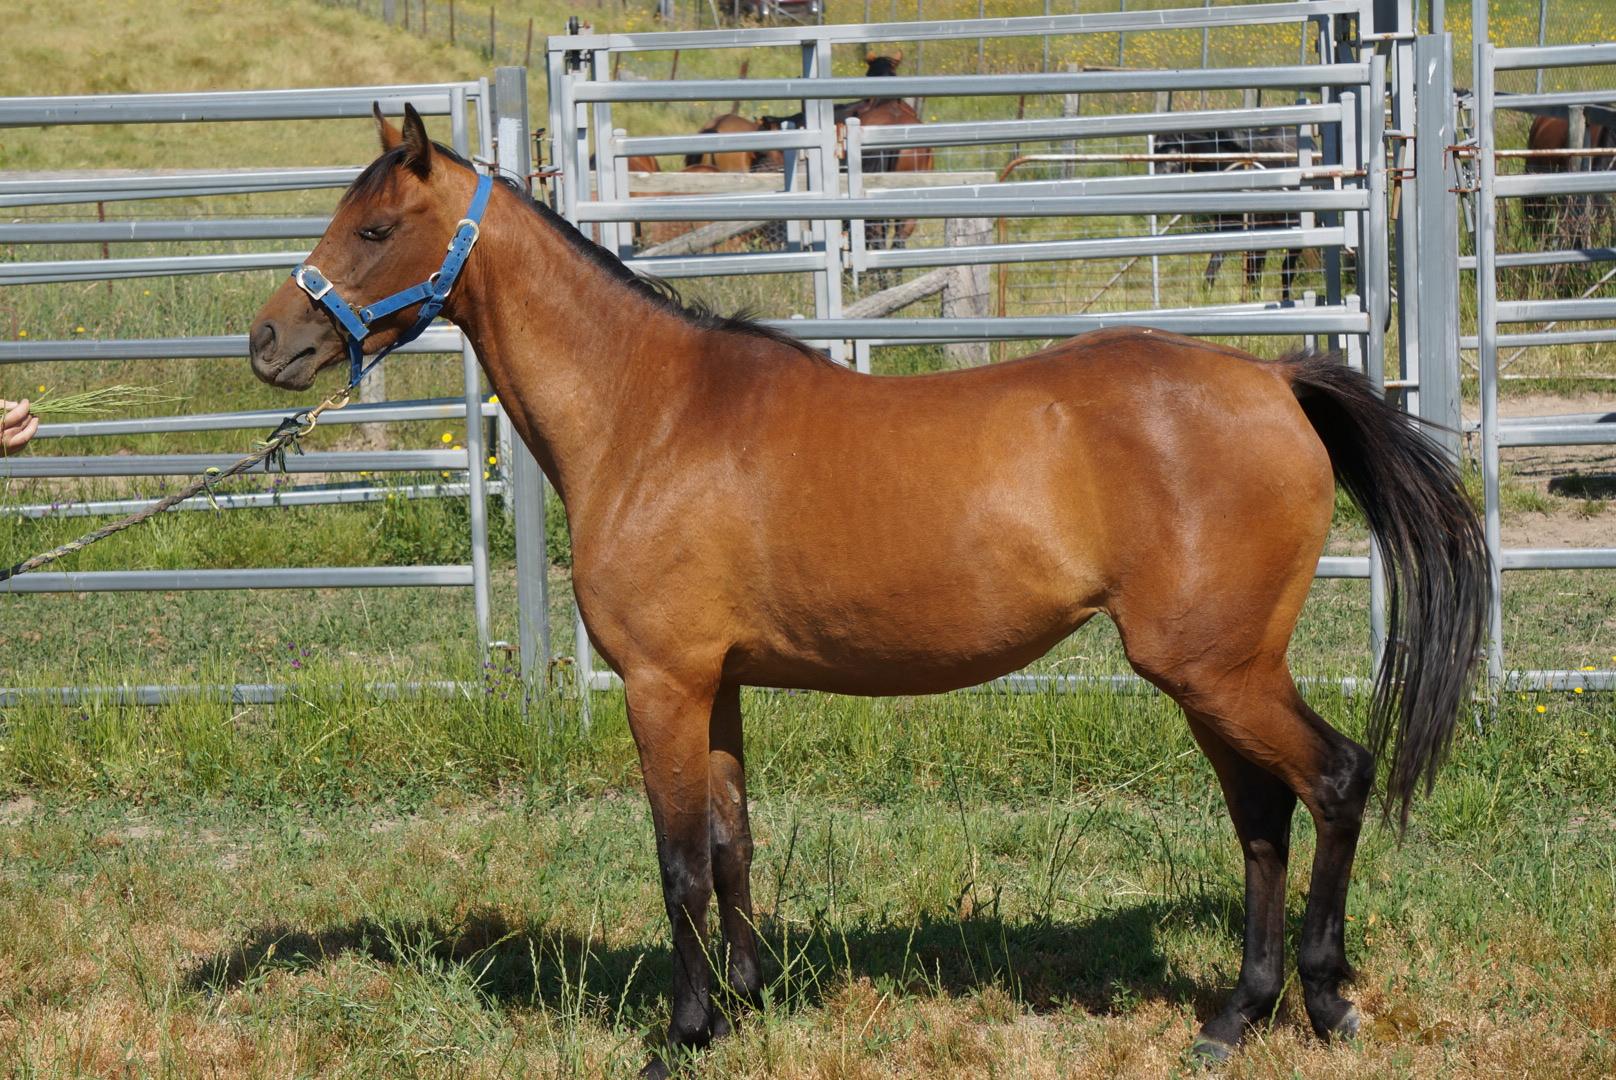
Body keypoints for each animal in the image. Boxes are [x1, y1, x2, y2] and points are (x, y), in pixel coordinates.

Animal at [1153, 127, 1304, 301]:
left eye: (1174, 152)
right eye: (1154, 152)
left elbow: (1255, 276)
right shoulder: (1225, 229)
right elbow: (1212, 272)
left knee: (1287, 271)